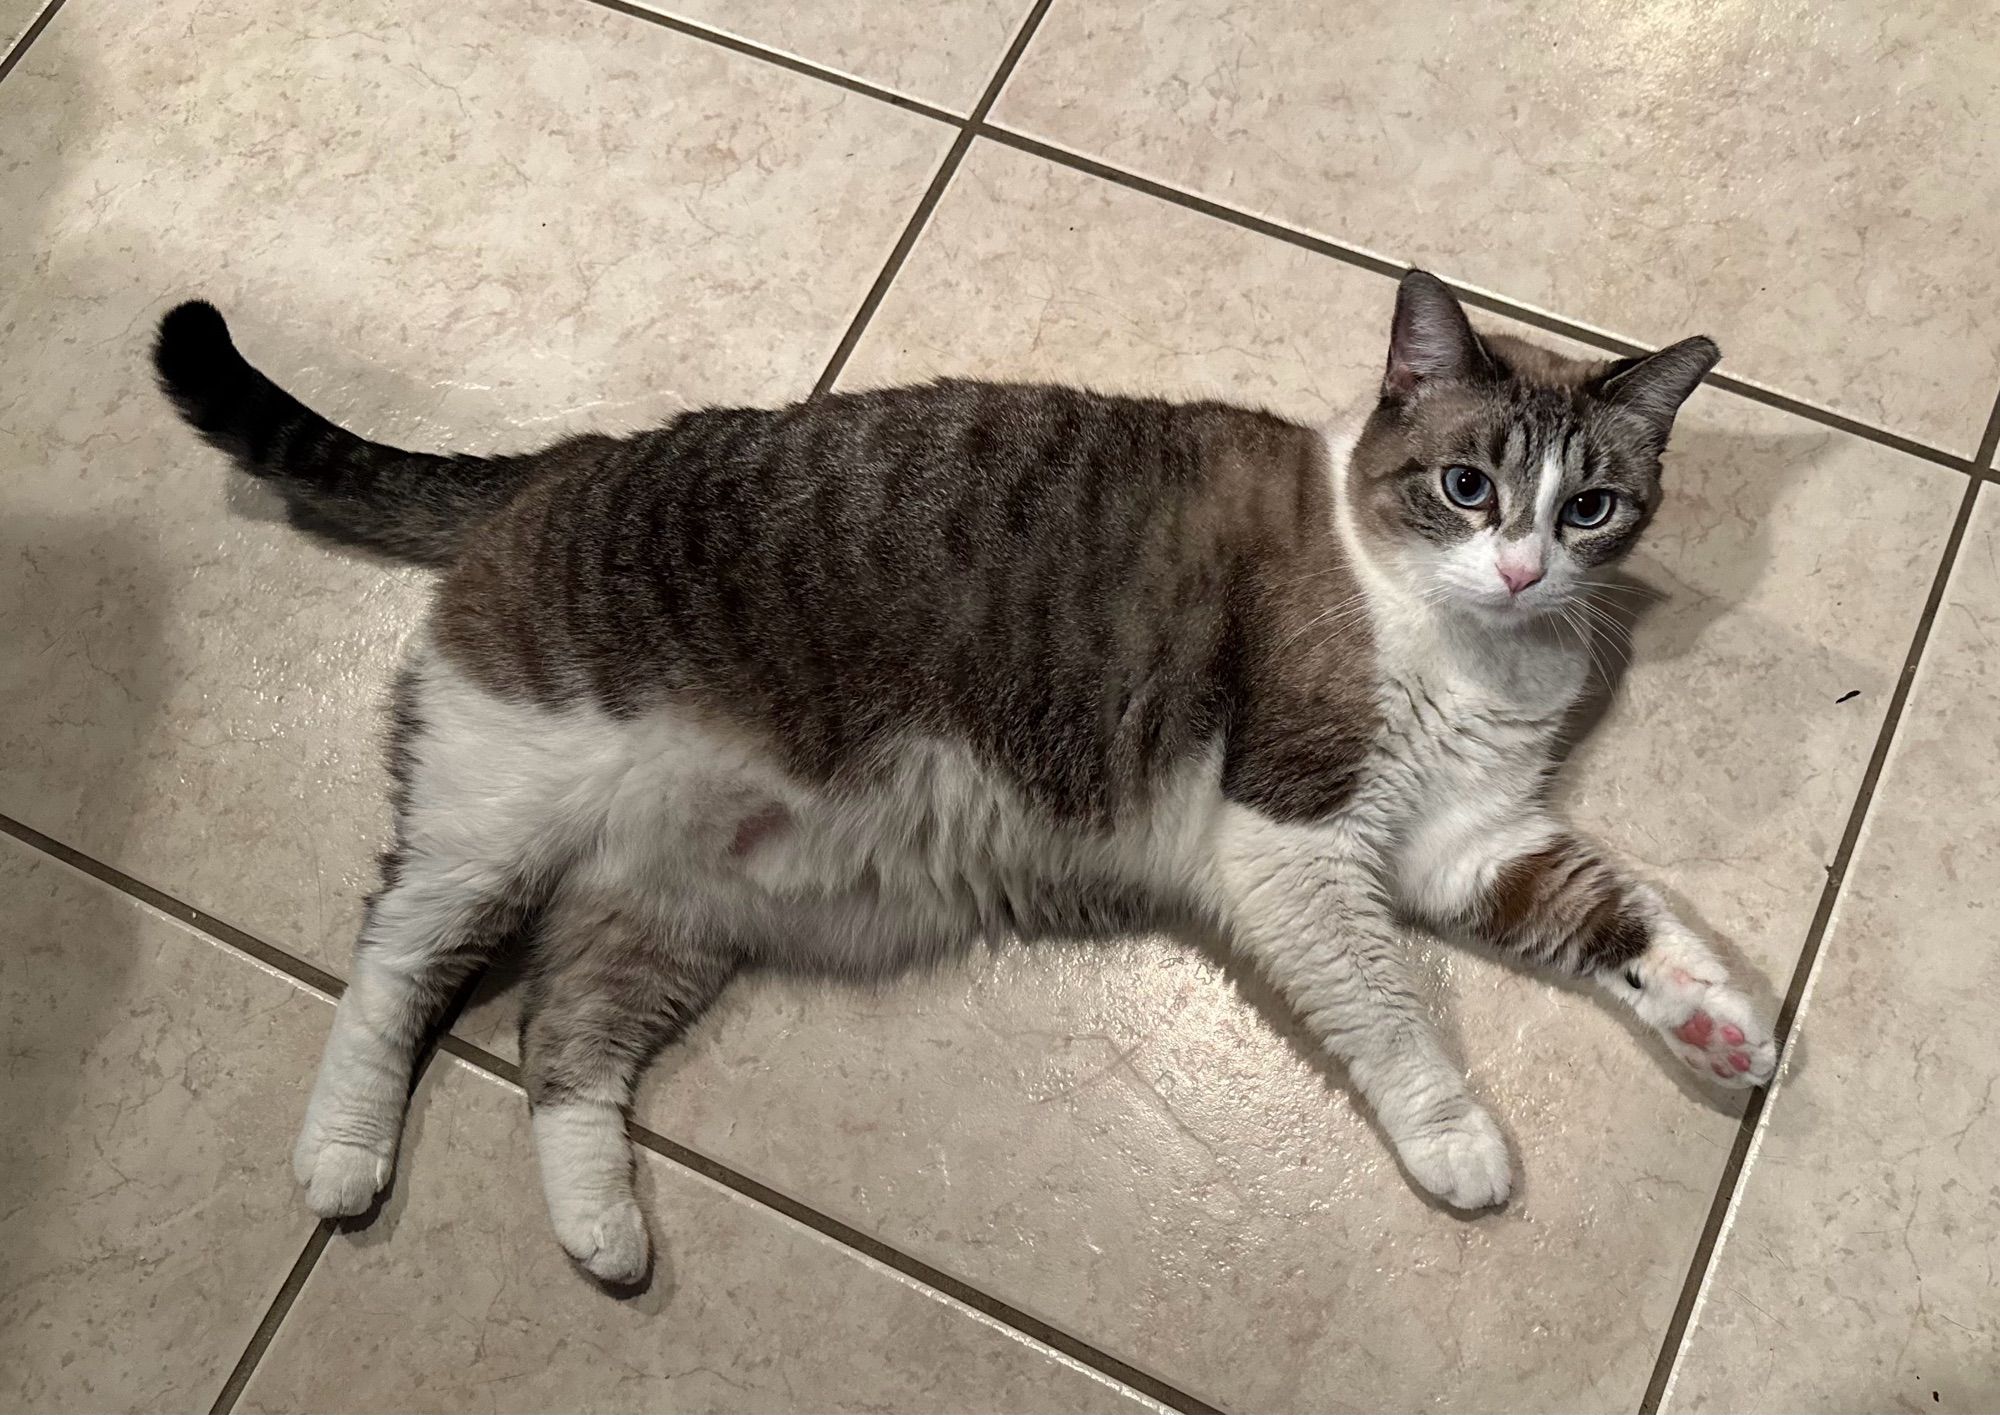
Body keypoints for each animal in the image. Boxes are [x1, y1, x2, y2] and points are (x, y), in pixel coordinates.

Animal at [160, 267, 1784, 1279]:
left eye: (1589, 507)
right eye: (1464, 485)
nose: (1521, 568)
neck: (1467, 643)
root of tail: (558, 459)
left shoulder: (1466, 836)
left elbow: (1615, 914)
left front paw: (1724, 1027)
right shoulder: (1296, 835)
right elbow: (1389, 1011)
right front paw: (1456, 1141)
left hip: (663, 912)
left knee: (559, 1039)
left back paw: (603, 1230)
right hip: (493, 821)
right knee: (393, 953)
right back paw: (342, 1154)